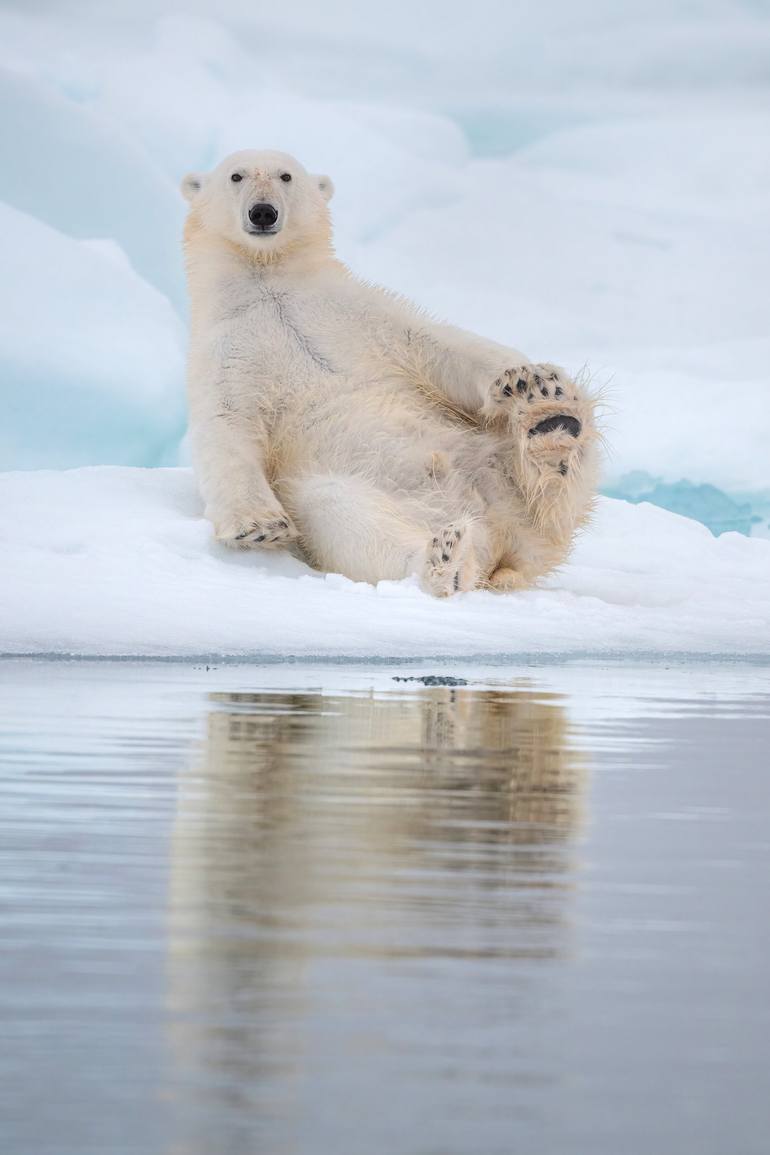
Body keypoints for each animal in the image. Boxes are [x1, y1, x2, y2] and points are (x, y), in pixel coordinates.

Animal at [182, 148, 600, 595]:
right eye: (237, 176)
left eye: (286, 176)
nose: (263, 212)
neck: (267, 282)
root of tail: (504, 542)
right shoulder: (226, 347)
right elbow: (227, 421)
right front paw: (260, 526)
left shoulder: (353, 310)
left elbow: (436, 344)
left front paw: (529, 378)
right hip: (357, 489)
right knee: (338, 511)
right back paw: (443, 560)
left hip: (490, 457)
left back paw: (550, 422)